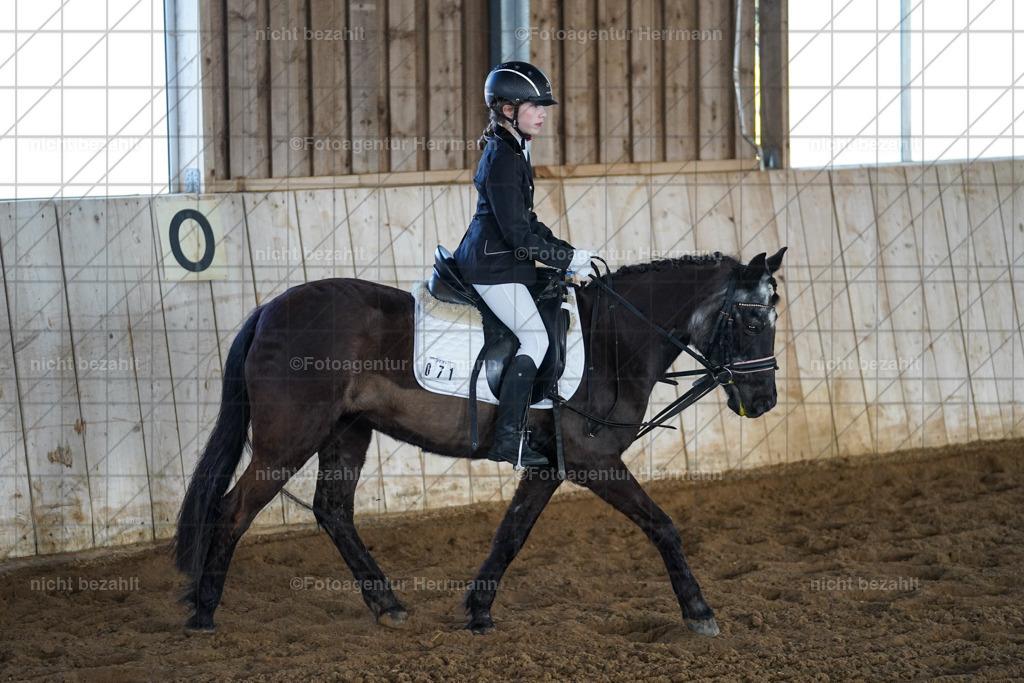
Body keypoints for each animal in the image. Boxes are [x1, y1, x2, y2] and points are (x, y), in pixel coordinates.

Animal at [173, 247, 787, 637]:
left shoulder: (549, 466)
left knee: (333, 510)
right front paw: (699, 611)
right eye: (753, 322)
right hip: (287, 441)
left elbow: (511, 535)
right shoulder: (594, 460)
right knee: (233, 510)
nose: (764, 401)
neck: (614, 340)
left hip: (347, 431)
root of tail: (268, 309)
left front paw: (478, 611)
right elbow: (663, 526)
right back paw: (203, 615)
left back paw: (388, 605)